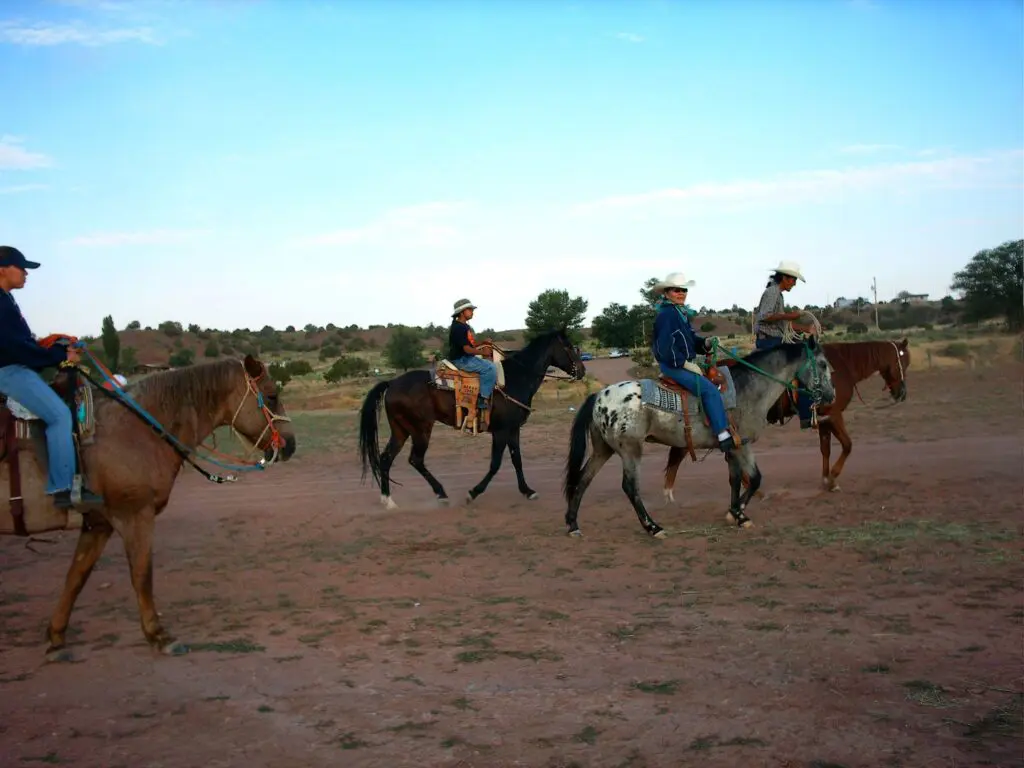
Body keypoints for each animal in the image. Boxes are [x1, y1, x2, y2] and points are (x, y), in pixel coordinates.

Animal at [0, 354, 296, 663]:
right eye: (272, 396)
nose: (291, 444)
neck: (134, 430)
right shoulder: (135, 515)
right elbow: (142, 574)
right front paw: (159, 635)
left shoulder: (98, 523)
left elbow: (76, 577)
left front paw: (56, 639)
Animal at [565, 342, 835, 540]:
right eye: (822, 364)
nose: (831, 396)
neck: (748, 388)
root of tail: (599, 396)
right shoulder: (743, 444)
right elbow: (755, 478)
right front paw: (738, 514)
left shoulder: (732, 447)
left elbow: (735, 480)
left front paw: (736, 513)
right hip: (631, 450)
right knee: (629, 487)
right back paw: (653, 527)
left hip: (603, 450)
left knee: (583, 480)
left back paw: (573, 524)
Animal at [663, 337, 913, 495]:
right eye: (902, 361)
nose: (902, 393)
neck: (842, 367)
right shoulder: (834, 415)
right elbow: (847, 445)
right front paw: (833, 478)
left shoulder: (824, 418)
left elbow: (826, 448)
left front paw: (827, 480)